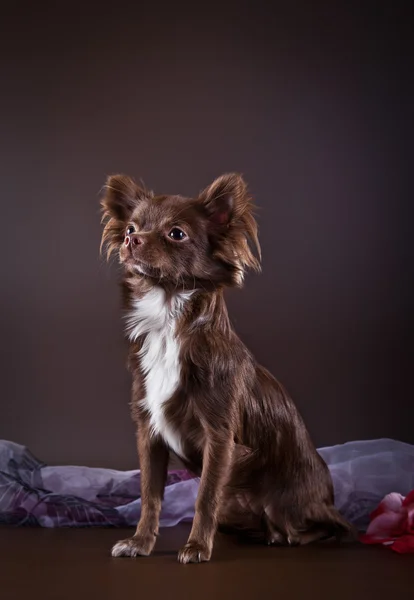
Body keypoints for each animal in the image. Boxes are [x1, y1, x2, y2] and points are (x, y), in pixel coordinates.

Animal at [101, 172, 356, 564]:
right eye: (130, 227)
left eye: (176, 233)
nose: (132, 239)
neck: (169, 319)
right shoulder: (149, 435)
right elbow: (149, 496)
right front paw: (140, 543)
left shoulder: (219, 437)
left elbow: (206, 497)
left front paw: (196, 547)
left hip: (292, 505)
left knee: (332, 528)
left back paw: (287, 536)